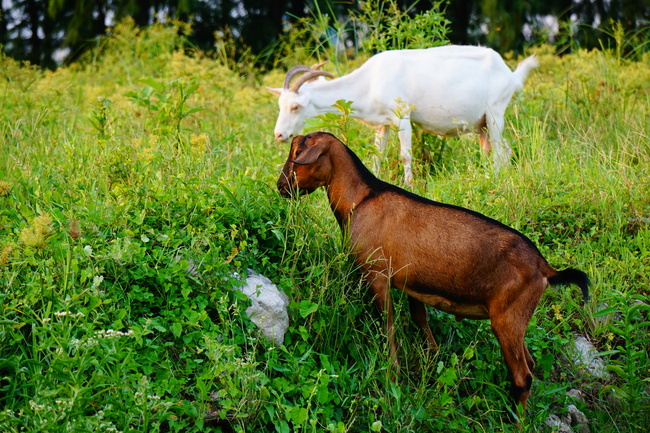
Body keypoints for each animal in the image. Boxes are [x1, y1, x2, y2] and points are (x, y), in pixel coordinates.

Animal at [266, 45, 540, 184]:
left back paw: (496, 179)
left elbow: (406, 155)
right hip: (481, 123)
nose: (279, 134)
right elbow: (377, 156)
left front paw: (409, 185)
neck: (370, 81)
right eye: (280, 104)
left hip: (495, 112)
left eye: (295, 107)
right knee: (495, 149)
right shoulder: (383, 125)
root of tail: (510, 75)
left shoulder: (403, 116)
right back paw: (488, 176)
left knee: (501, 151)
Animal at [276, 131, 588, 416]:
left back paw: (516, 420)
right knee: (530, 364)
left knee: (523, 376)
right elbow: (419, 321)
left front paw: (392, 372)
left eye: (298, 154)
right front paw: (431, 361)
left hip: (507, 319)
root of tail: (545, 268)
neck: (362, 198)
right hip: (516, 319)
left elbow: (388, 325)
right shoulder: (411, 284)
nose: (281, 186)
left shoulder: (378, 275)